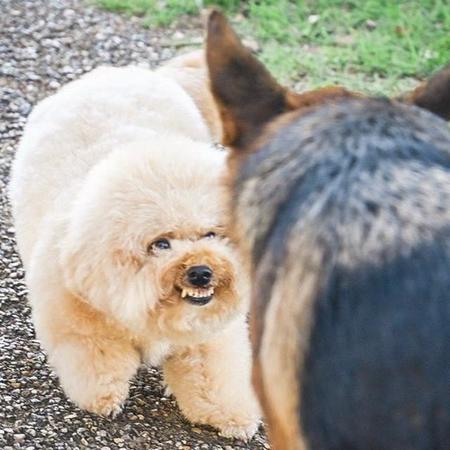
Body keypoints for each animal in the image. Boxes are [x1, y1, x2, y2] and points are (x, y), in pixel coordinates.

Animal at [7, 52, 260, 440]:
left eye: (211, 234)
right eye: (160, 244)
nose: (202, 272)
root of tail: (120, 73)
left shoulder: (207, 336)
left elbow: (213, 374)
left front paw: (232, 416)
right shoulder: (78, 322)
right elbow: (101, 361)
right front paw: (105, 397)